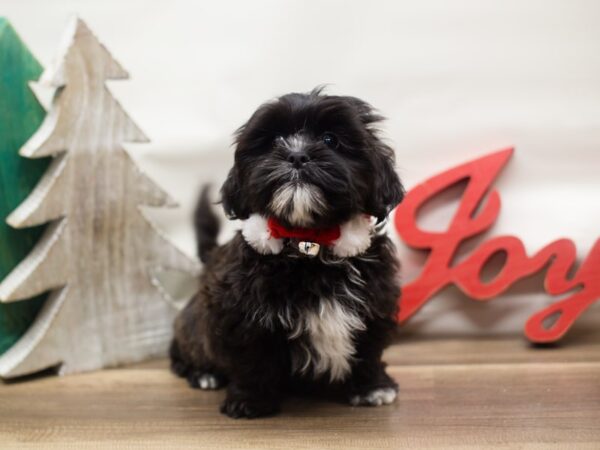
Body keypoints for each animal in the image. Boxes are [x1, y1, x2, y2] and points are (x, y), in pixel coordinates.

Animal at [171, 87, 406, 418]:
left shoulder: (374, 304)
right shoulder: (239, 313)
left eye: (330, 139)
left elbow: (367, 349)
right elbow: (251, 356)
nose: (296, 155)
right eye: (274, 141)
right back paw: (203, 373)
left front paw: (372, 388)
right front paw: (250, 400)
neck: (310, 244)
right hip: (195, 324)